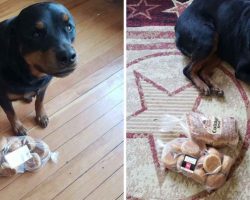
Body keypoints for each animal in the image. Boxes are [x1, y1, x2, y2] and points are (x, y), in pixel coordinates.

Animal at [0, 1, 76, 135]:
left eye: (69, 27)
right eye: (36, 34)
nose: (68, 56)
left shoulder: (43, 87)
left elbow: (39, 102)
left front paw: (41, 116)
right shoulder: (3, 97)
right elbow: (11, 113)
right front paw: (18, 127)